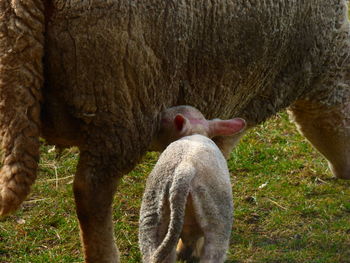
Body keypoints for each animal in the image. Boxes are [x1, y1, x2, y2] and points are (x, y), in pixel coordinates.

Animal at [0, 1, 350, 262]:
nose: (344, 176)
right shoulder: (243, 95)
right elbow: (221, 150)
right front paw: (189, 241)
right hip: (120, 98)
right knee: (91, 191)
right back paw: (106, 255)